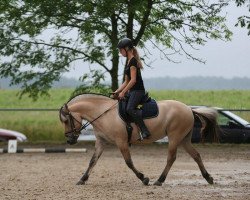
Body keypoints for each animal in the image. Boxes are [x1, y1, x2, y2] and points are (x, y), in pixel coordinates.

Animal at [59, 93, 219, 187]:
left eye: (66, 120)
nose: (70, 140)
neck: (104, 114)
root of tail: (189, 109)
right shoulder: (101, 142)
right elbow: (93, 161)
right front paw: (82, 179)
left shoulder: (121, 142)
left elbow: (129, 162)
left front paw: (144, 178)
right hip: (183, 139)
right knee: (196, 155)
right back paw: (208, 178)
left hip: (174, 137)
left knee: (171, 158)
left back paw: (159, 180)